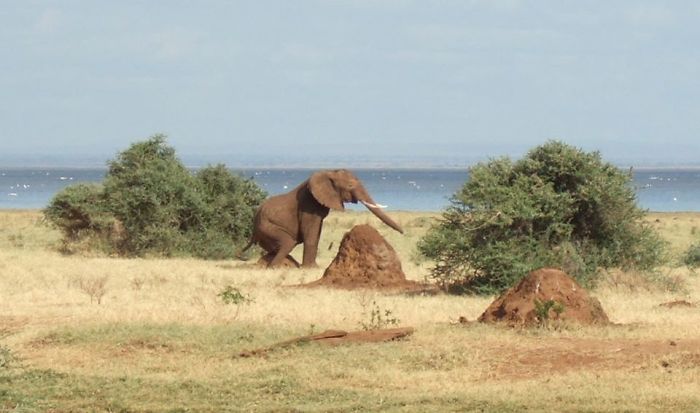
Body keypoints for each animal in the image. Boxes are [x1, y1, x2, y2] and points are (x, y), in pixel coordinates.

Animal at [241, 169, 403, 268]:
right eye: (350, 185)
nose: (403, 232)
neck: (329, 172)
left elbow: (317, 232)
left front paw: (313, 267)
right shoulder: (309, 204)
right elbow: (311, 235)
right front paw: (310, 268)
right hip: (268, 227)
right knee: (288, 242)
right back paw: (274, 267)